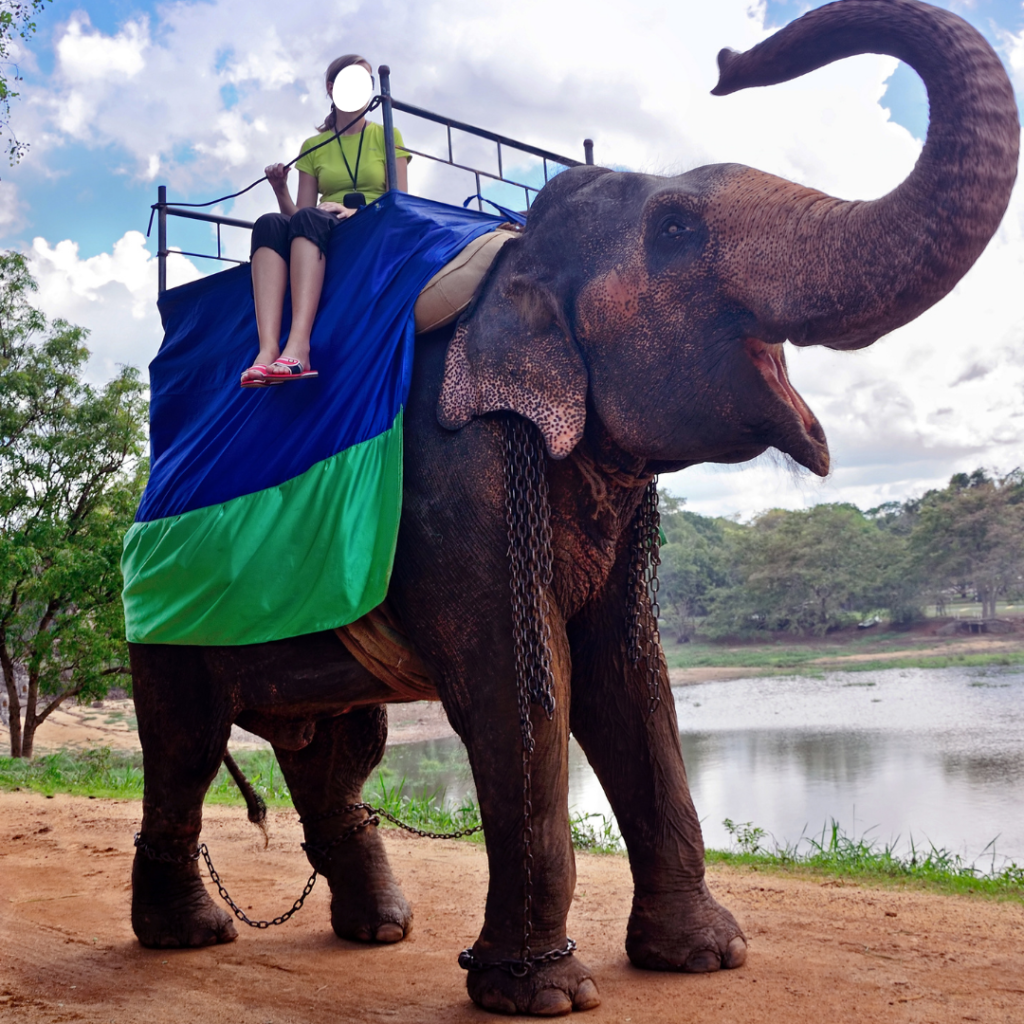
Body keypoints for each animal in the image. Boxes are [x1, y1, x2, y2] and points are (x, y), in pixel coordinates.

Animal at [125, 0, 1015, 1015]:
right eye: (675, 228)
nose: (726, 60)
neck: (510, 258)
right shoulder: (458, 477)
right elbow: (523, 689)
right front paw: (543, 995)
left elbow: (628, 677)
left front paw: (702, 957)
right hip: (161, 610)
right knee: (186, 742)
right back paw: (191, 935)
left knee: (339, 747)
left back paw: (380, 929)